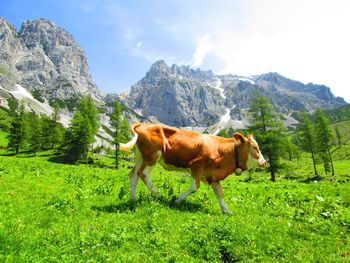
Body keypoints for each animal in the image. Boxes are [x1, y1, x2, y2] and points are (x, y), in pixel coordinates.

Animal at [119, 123, 266, 214]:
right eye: (255, 147)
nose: (264, 162)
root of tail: (143, 125)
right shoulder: (196, 165)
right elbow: (195, 187)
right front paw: (177, 200)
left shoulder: (213, 175)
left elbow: (220, 193)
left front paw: (226, 211)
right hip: (152, 156)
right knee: (143, 174)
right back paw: (158, 194)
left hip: (141, 157)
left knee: (133, 175)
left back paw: (133, 199)